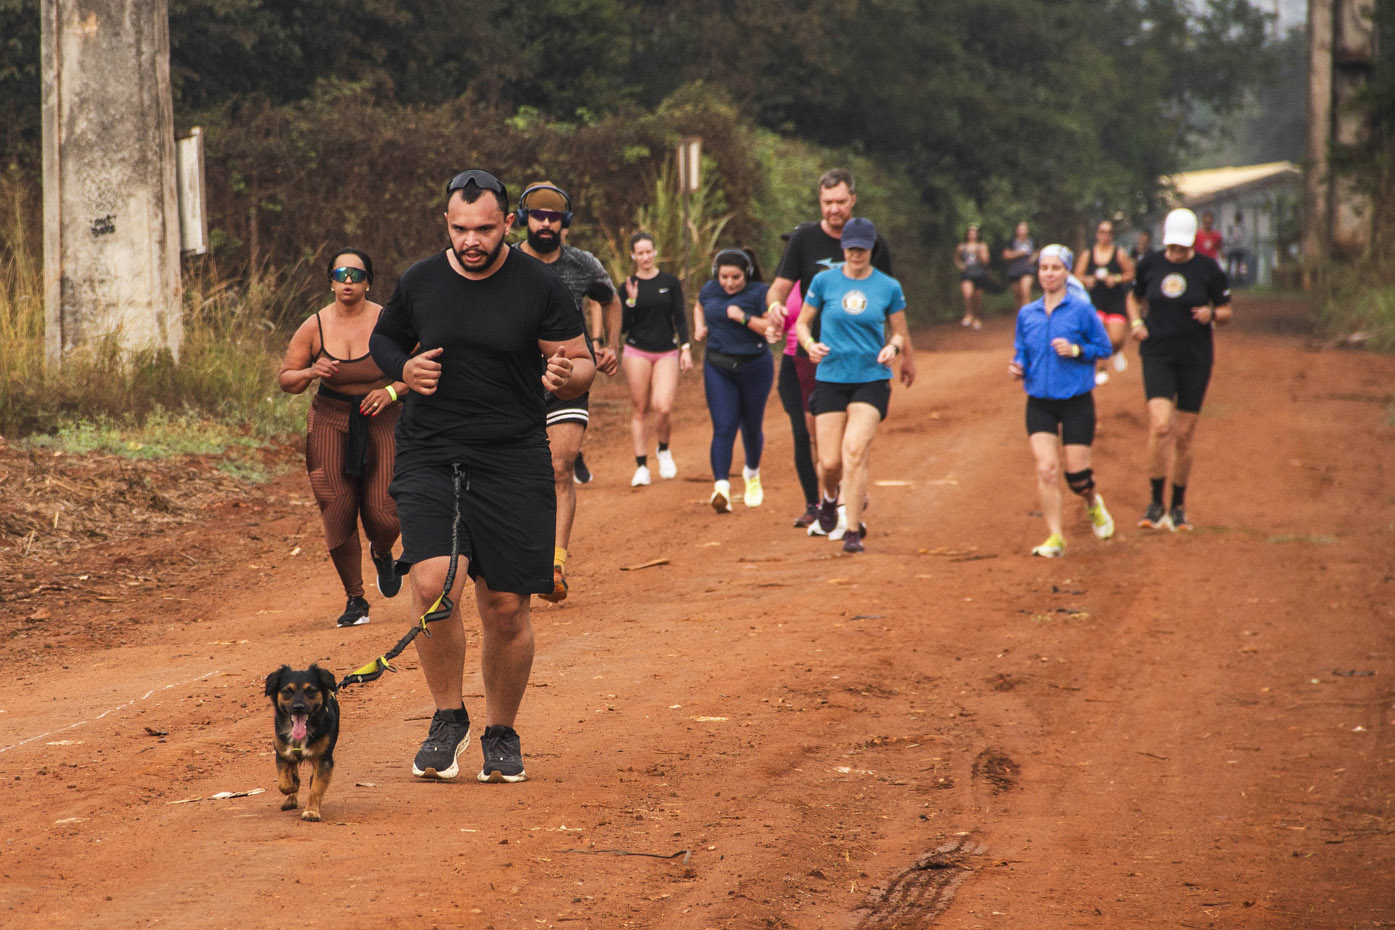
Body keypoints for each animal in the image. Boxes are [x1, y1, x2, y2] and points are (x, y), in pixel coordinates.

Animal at [264, 664, 340, 822]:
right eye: (287, 691)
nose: (298, 707)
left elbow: (316, 788)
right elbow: (283, 783)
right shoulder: (282, 754)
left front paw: (312, 811)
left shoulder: (324, 760)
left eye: (311, 691)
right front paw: (293, 785)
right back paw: (290, 799)